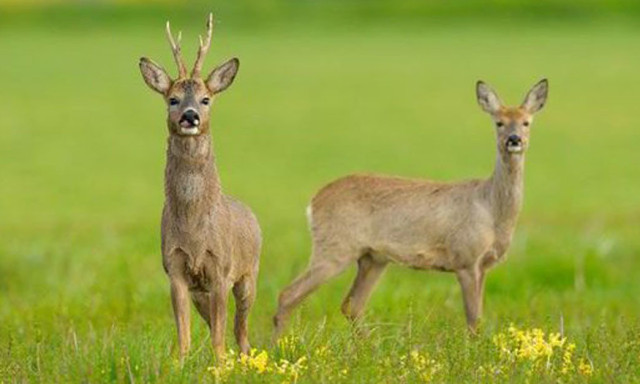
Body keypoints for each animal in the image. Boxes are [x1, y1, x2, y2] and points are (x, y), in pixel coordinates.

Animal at [139, 14, 262, 356]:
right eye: (173, 99)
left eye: (206, 99)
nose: (190, 116)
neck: (193, 229)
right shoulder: (176, 271)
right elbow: (184, 336)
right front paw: (180, 363)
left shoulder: (221, 269)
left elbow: (220, 337)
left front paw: (220, 365)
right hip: (201, 293)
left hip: (249, 275)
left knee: (241, 330)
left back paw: (244, 358)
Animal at [272, 80, 548, 336]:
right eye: (498, 122)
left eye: (526, 122)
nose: (514, 140)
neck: (491, 209)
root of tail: (313, 202)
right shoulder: (465, 259)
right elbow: (473, 320)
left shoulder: (484, 265)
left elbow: (478, 317)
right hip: (335, 248)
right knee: (288, 295)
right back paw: (279, 348)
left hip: (372, 258)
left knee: (351, 305)